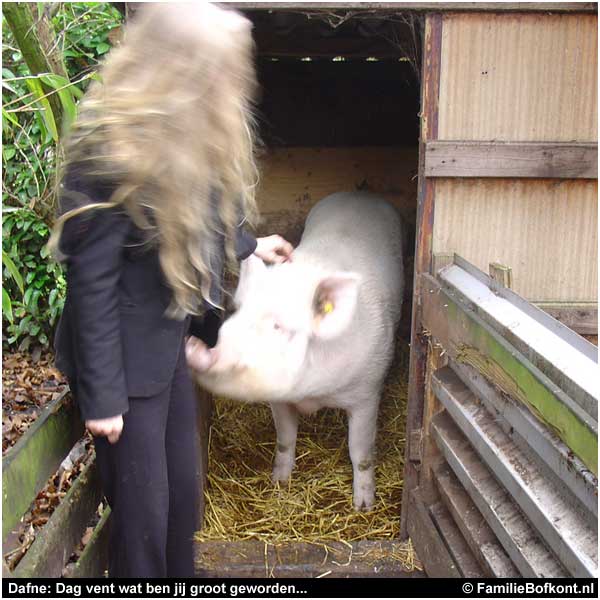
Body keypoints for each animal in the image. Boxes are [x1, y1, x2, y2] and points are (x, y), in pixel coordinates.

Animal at [190, 192, 406, 510]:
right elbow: (285, 439)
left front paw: (364, 506)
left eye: (279, 326)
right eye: (236, 312)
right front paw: (278, 483)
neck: (312, 394)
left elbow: (360, 451)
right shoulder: (279, 400)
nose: (197, 349)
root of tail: (360, 193)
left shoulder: (367, 391)